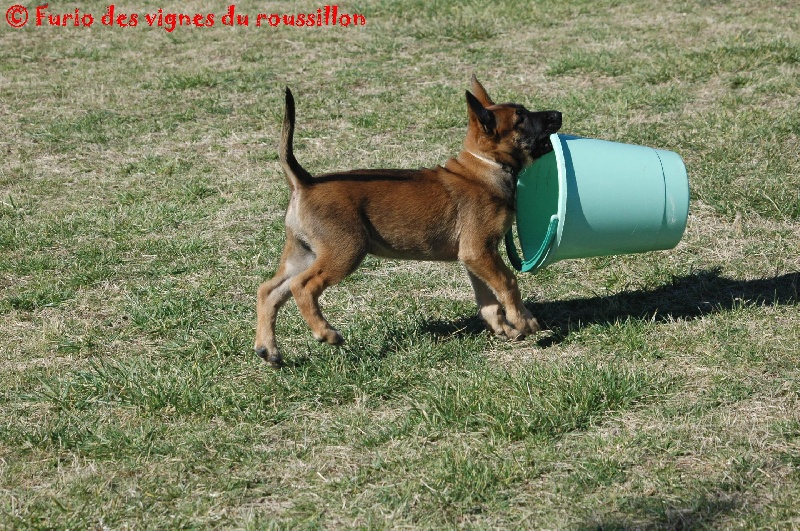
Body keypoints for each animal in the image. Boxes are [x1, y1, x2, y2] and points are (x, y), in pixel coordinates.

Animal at [256, 77, 564, 368]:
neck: (485, 167)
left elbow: (488, 299)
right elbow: (508, 281)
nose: (558, 113)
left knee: (270, 290)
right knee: (302, 286)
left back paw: (268, 349)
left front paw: (504, 328)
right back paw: (325, 332)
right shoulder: (479, 251)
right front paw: (524, 320)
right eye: (520, 118)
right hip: (345, 251)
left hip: (303, 253)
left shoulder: (476, 257)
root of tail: (305, 182)